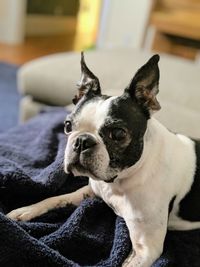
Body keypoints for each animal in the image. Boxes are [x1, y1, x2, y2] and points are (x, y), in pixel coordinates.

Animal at [7, 52, 200, 267]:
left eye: (118, 133)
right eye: (67, 126)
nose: (82, 141)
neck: (120, 182)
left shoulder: (147, 250)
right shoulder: (90, 191)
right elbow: (55, 199)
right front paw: (26, 210)